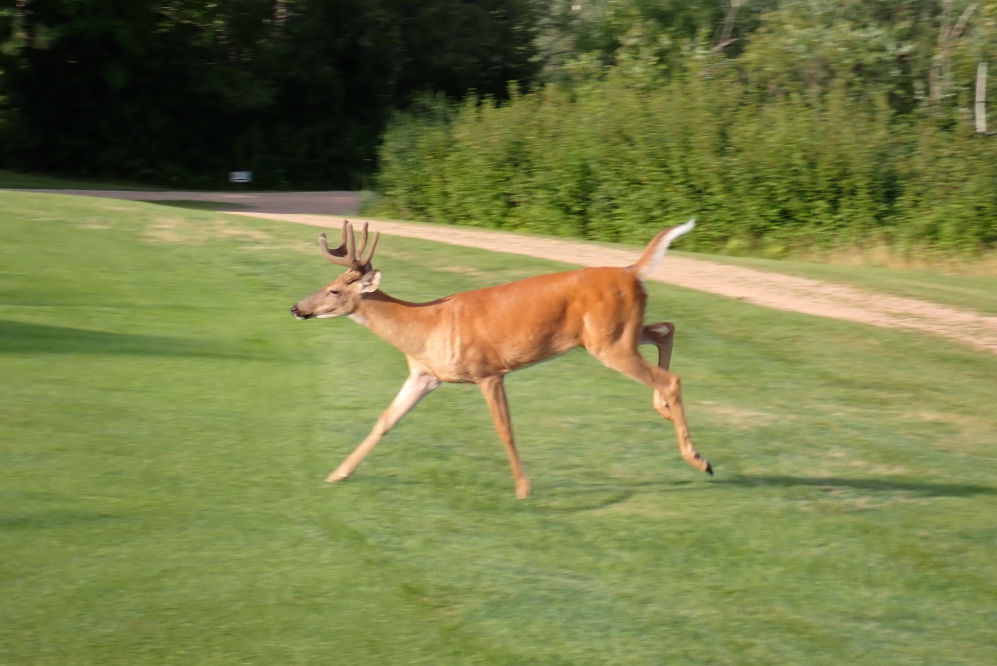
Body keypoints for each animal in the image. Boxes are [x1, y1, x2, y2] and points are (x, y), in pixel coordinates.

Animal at [290, 219, 712, 499]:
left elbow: (504, 429)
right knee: (666, 329)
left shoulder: (488, 370)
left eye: (333, 290)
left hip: (609, 342)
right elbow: (384, 422)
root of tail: (633, 271)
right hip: (616, 334)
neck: (426, 327)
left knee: (669, 377)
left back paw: (699, 459)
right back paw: (664, 413)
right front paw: (337, 474)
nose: (296, 308)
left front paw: (523, 489)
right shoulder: (425, 375)